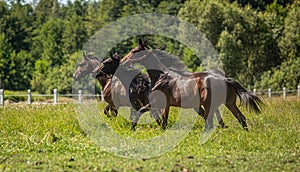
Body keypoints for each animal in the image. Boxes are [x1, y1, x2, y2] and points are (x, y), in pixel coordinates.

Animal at [121, 39, 262, 131]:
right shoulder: (166, 105)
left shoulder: (156, 102)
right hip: (229, 103)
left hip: (209, 104)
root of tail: (226, 79)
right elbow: (164, 122)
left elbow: (140, 111)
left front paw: (132, 128)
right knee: (241, 118)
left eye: (134, 51)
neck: (161, 77)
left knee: (210, 122)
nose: (123, 61)